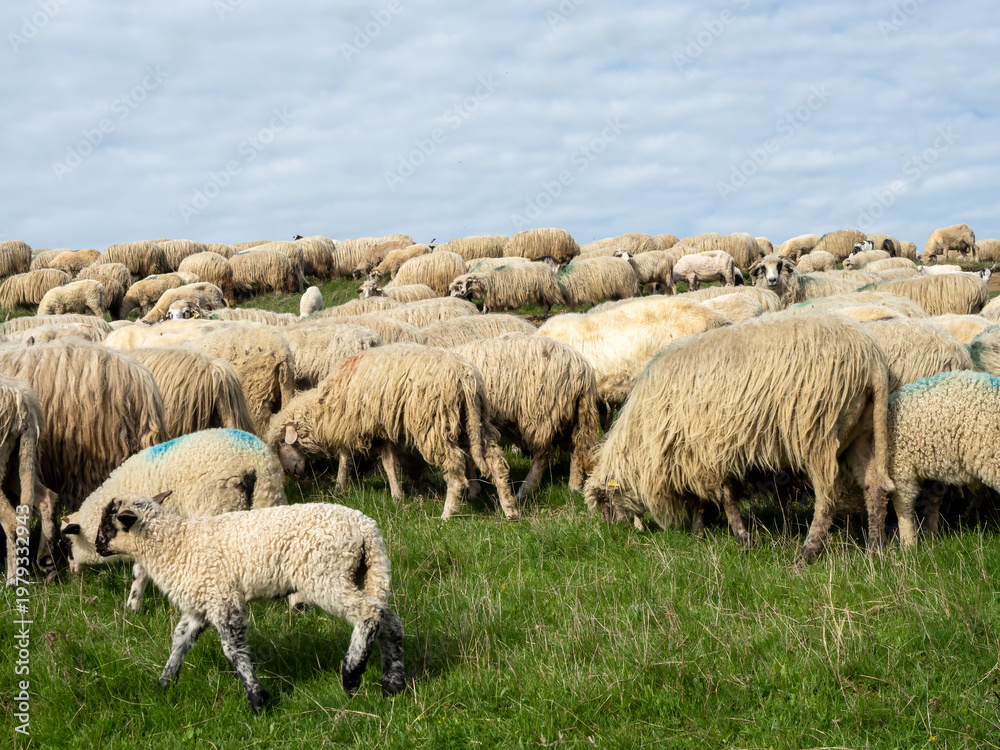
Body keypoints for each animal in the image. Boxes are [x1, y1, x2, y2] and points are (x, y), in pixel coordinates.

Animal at [60, 428, 286, 610]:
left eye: (67, 542)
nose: (72, 572)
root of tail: (255, 463)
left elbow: (140, 571)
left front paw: (133, 604)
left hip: (219, 508)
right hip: (268, 498)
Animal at [93, 495, 405, 710]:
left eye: (108, 522)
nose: (97, 546)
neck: (175, 544)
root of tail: (366, 529)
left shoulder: (222, 598)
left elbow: (233, 649)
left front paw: (257, 699)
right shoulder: (200, 604)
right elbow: (179, 642)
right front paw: (163, 684)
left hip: (326, 575)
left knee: (369, 613)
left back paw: (351, 674)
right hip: (368, 572)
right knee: (389, 622)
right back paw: (393, 684)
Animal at [269, 343, 518, 519]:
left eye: (282, 442)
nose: (290, 472)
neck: (325, 407)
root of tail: (466, 375)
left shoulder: (355, 423)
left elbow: (346, 456)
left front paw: (340, 485)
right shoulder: (381, 429)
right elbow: (388, 464)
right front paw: (396, 494)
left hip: (435, 425)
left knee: (455, 467)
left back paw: (447, 514)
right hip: (472, 421)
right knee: (494, 460)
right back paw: (510, 510)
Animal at [452, 333, 600, 496]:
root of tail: (582, 368)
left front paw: (472, 490)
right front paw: (473, 489)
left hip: (541, 413)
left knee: (544, 453)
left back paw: (525, 490)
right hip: (569, 413)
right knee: (576, 449)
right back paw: (573, 487)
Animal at [583, 313, 894, 563]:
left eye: (605, 501)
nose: (613, 534)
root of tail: (873, 362)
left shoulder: (705, 454)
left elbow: (725, 500)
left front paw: (741, 538)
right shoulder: (699, 455)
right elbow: (706, 499)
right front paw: (700, 533)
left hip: (818, 431)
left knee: (827, 499)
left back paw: (807, 555)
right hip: (860, 432)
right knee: (874, 486)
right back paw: (875, 549)